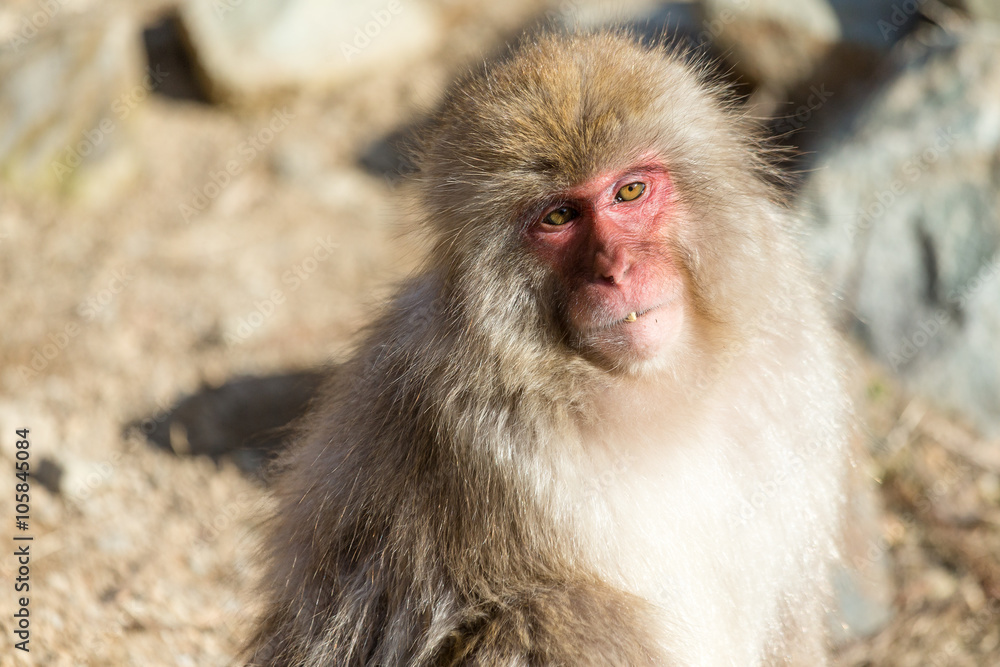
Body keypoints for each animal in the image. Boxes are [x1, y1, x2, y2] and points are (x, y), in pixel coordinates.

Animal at [244, 30, 851, 667]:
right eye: (559, 216)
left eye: (629, 191)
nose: (615, 269)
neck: (656, 390)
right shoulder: (490, 441)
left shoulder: (785, 366)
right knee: (563, 615)